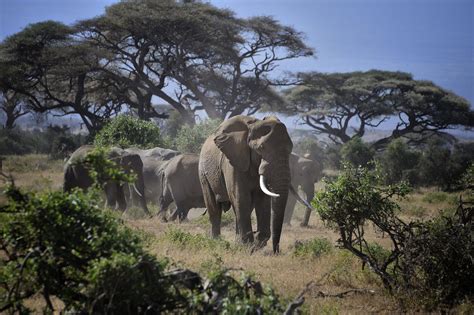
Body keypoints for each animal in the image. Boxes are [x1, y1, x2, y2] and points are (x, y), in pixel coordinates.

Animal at [197, 116, 292, 254]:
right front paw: (248, 246)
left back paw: (237, 243)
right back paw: (216, 242)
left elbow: (262, 200)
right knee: (214, 207)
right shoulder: (233, 162)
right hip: (203, 173)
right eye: (261, 148)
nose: (276, 251)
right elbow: (241, 198)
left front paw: (255, 244)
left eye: (290, 150)